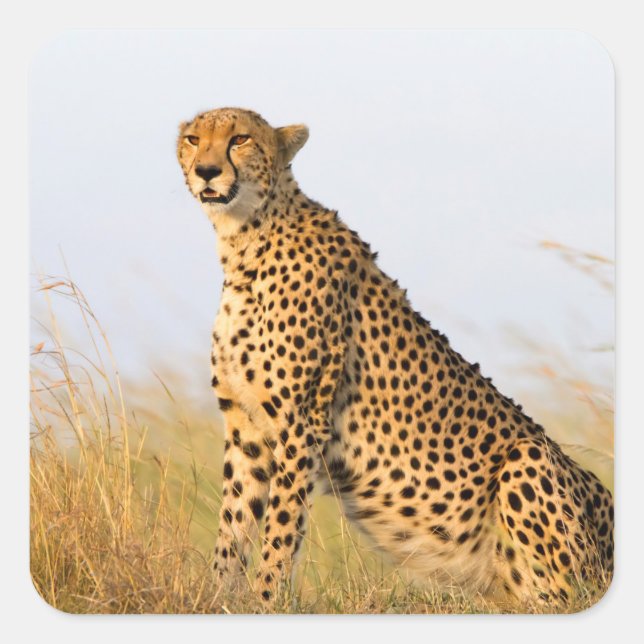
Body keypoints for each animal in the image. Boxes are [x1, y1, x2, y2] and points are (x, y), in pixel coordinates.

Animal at [176, 106, 614, 609]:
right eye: (193, 139)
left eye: (240, 139)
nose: (207, 171)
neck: (246, 239)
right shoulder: (246, 427)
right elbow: (233, 525)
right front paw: (215, 600)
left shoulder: (301, 423)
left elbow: (280, 532)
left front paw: (267, 602)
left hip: (529, 461)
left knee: (561, 595)